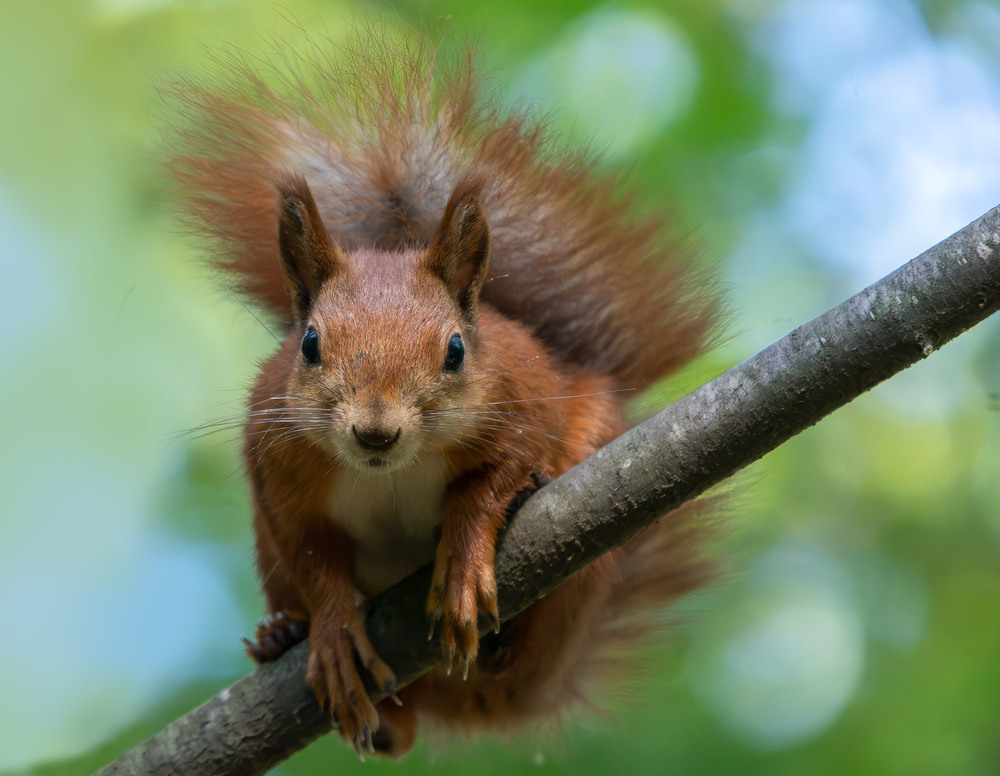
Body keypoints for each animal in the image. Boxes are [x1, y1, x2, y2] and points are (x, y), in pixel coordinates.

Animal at [170, 31, 720, 756]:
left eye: (456, 350)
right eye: (308, 344)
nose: (375, 431)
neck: (390, 471)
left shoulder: (521, 404)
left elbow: (489, 483)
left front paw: (462, 557)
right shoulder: (279, 472)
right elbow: (314, 557)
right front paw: (331, 632)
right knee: (393, 726)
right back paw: (283, 637)